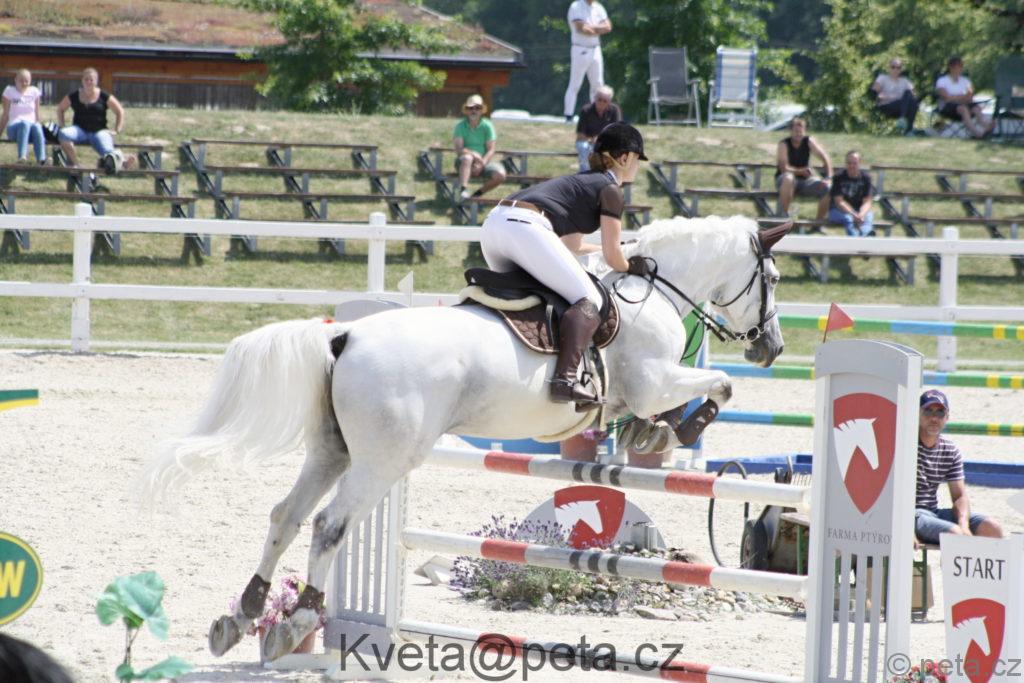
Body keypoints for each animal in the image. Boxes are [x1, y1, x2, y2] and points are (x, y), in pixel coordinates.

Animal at [142, 214, 791, 661]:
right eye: (774, 277)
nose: (772, 347)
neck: (654, 291)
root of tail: (345, 334)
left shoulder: (646, 386)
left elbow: (666, 406)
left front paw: (648, 433)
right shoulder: (654, 380)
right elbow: (719, 386)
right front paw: (679, 427)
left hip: (334, 450)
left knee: (286, 516)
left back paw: (245, 615)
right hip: (386, 459)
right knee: (329, 525)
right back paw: (298, 621)